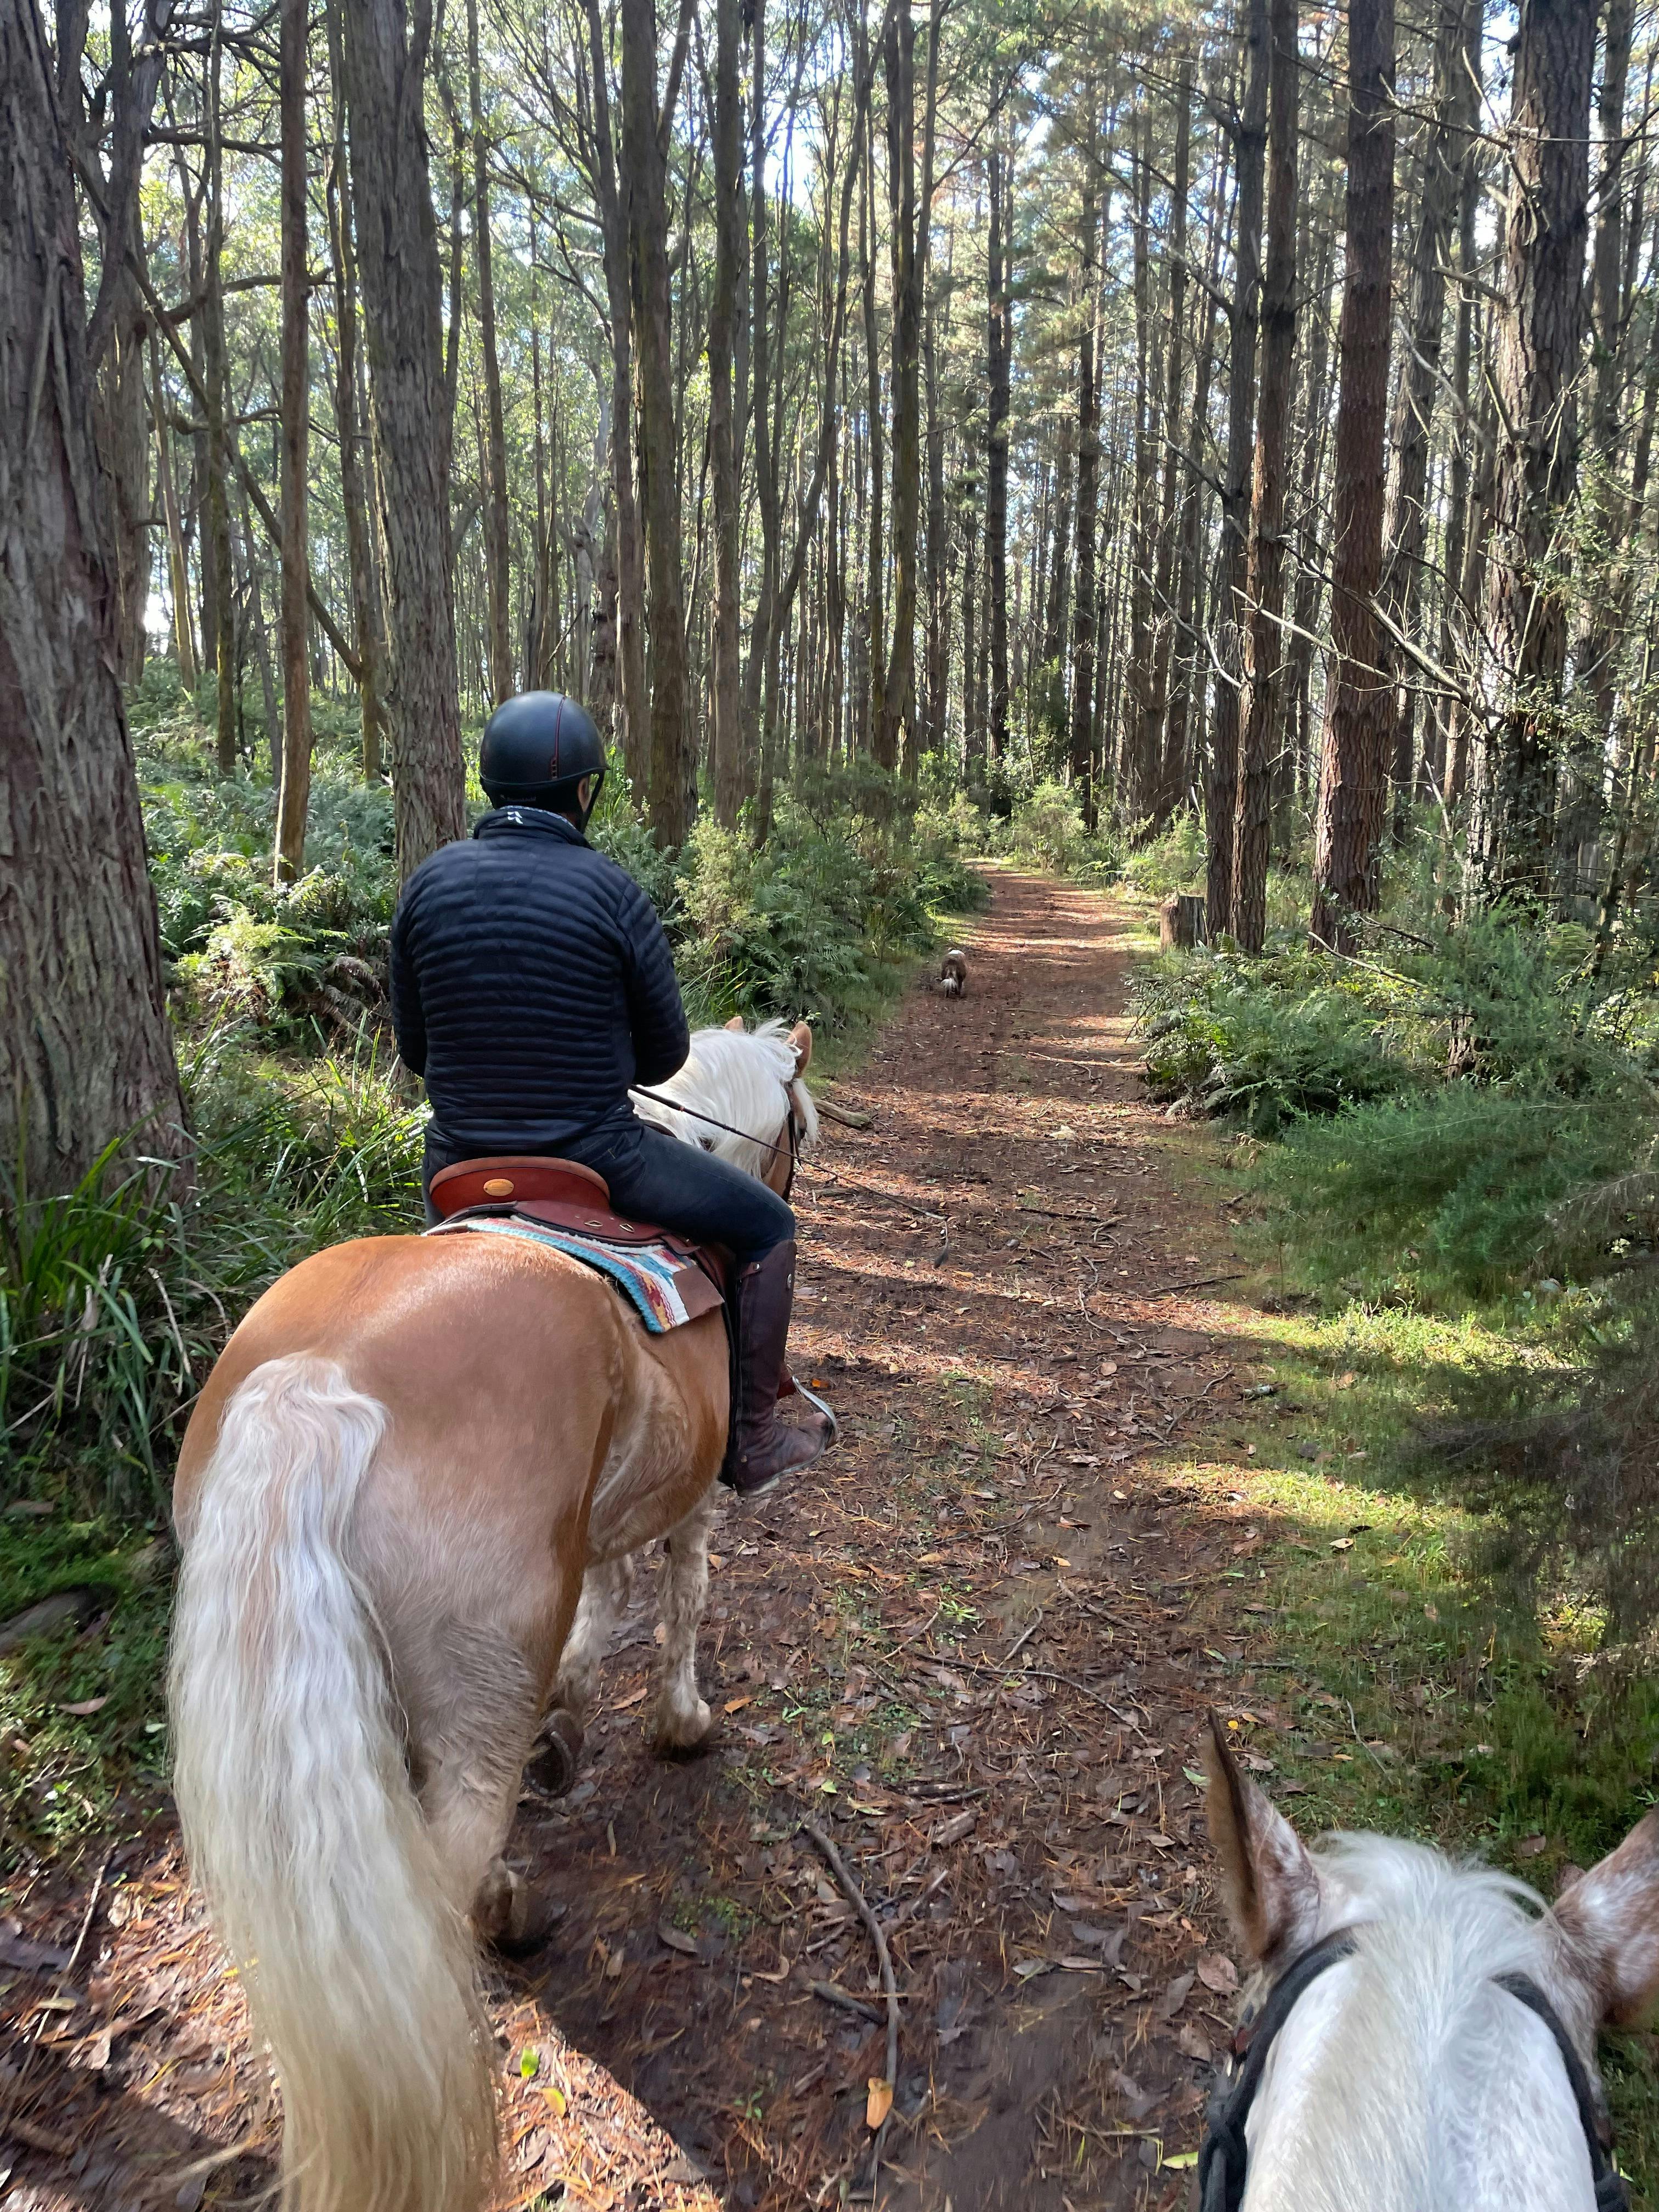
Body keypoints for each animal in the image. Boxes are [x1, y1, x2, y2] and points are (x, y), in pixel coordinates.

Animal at [167, 1019, 818, 2212]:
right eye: (794, 1127)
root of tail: (315, 1385)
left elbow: (603, 1611)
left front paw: (571, 1726)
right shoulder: (689, 1492)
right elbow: (679, 1595)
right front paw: (681, 1724)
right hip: (477, 1690)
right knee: (444, 1869)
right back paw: (513, 1910)